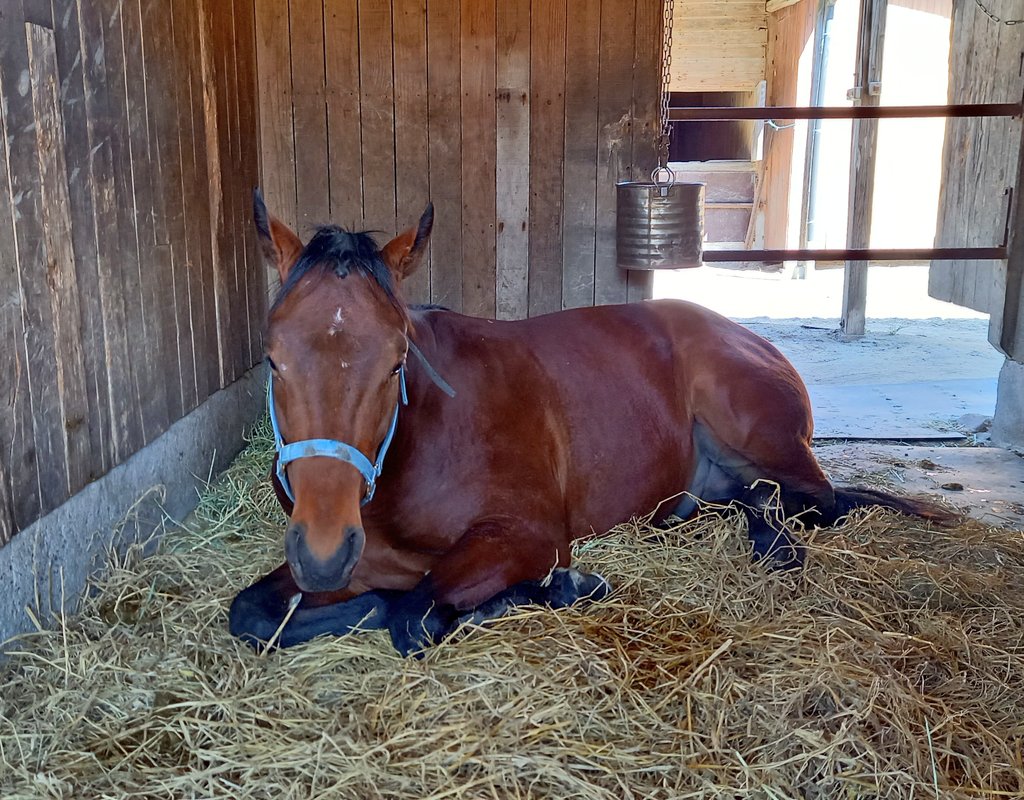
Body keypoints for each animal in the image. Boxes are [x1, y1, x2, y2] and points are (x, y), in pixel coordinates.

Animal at [229, 191, 953, 657]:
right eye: (273, 358)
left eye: (396, 361)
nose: (325, 552)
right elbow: (251, 615)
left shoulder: (523, 535)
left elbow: (409, 612)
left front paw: (563, 585)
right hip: (699, 489)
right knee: (747, 501)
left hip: (762, 438)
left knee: (810, 502)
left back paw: (776, 546)